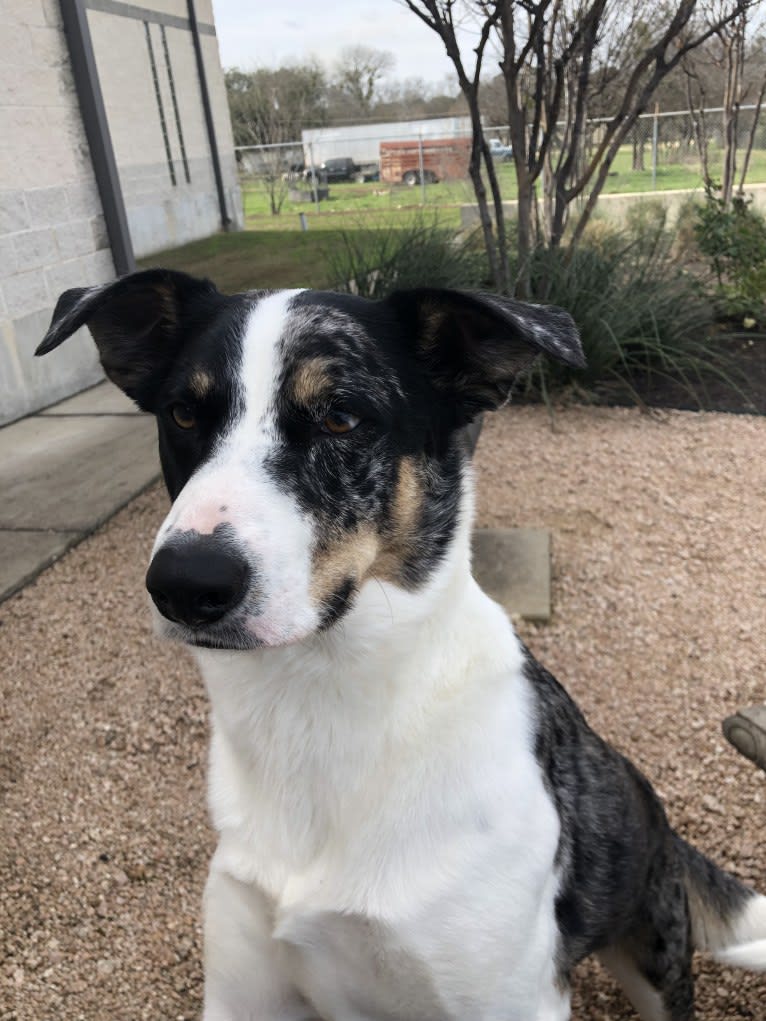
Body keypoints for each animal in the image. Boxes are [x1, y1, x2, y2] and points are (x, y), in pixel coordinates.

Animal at [37, 271, 766, 1021]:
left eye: (340, 417)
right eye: (183, 414)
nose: (185, 583)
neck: (317, 707)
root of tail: (667, 832)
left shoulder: (509, 999)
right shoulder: (244, 991)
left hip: (655, 957)